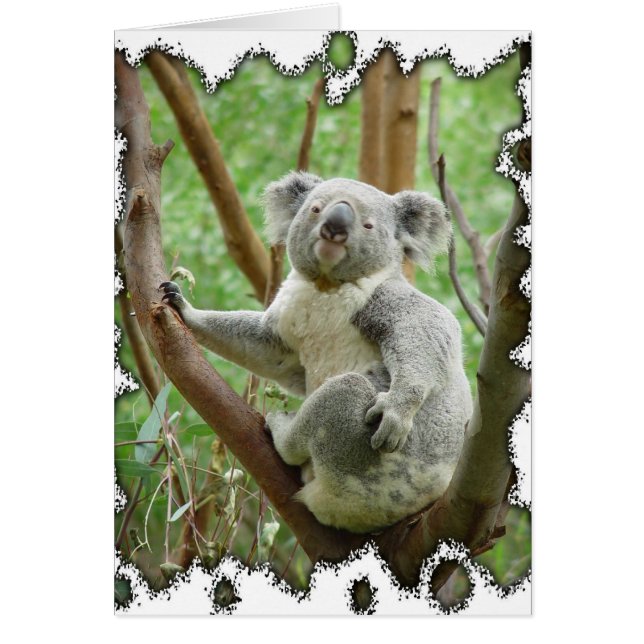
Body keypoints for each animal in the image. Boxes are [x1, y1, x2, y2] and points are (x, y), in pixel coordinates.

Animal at [160, 171, 472, 533]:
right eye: (315, 208)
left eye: (368, 225)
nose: (335, 226)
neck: (327, 287)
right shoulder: (286, 324)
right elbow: (265, 349)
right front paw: (182, 308)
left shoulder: (385, 299)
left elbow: (427, 329)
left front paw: (396, 410)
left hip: (371, 461)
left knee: (344, 396)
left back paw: (283, 429)